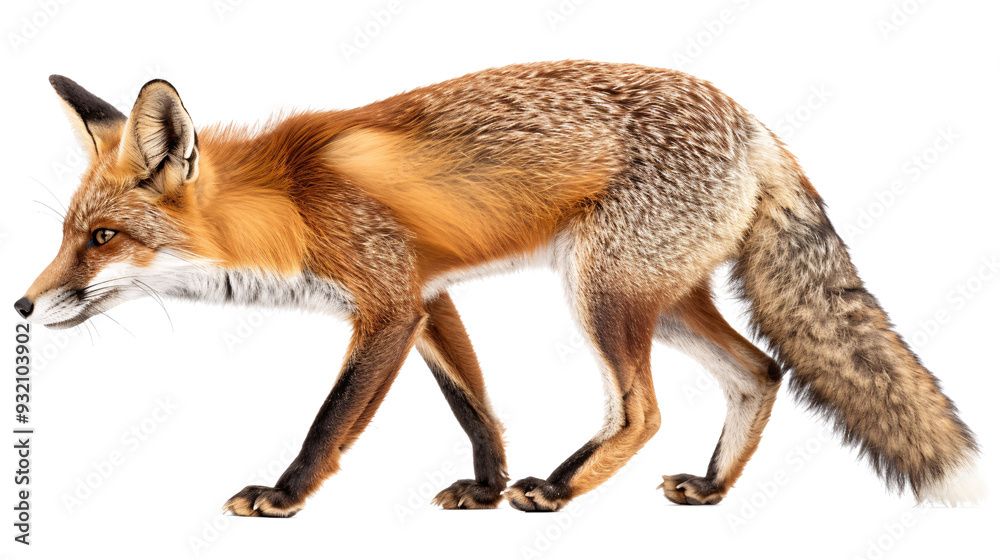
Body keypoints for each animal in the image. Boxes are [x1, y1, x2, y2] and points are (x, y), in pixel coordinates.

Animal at [16, 61, 981, 516]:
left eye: (103, 240)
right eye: (66, 236)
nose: (22, 306)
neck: (286, 203)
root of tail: (756, 125)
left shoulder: (388, 301)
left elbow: (331, 419)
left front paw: (285, 497)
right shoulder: (430, 299)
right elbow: (475, 407)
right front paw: (485, 488)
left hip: (604, 293)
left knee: (642, 411)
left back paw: (558, 489)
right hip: (664, 299)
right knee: (759, 371)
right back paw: (709, 490)